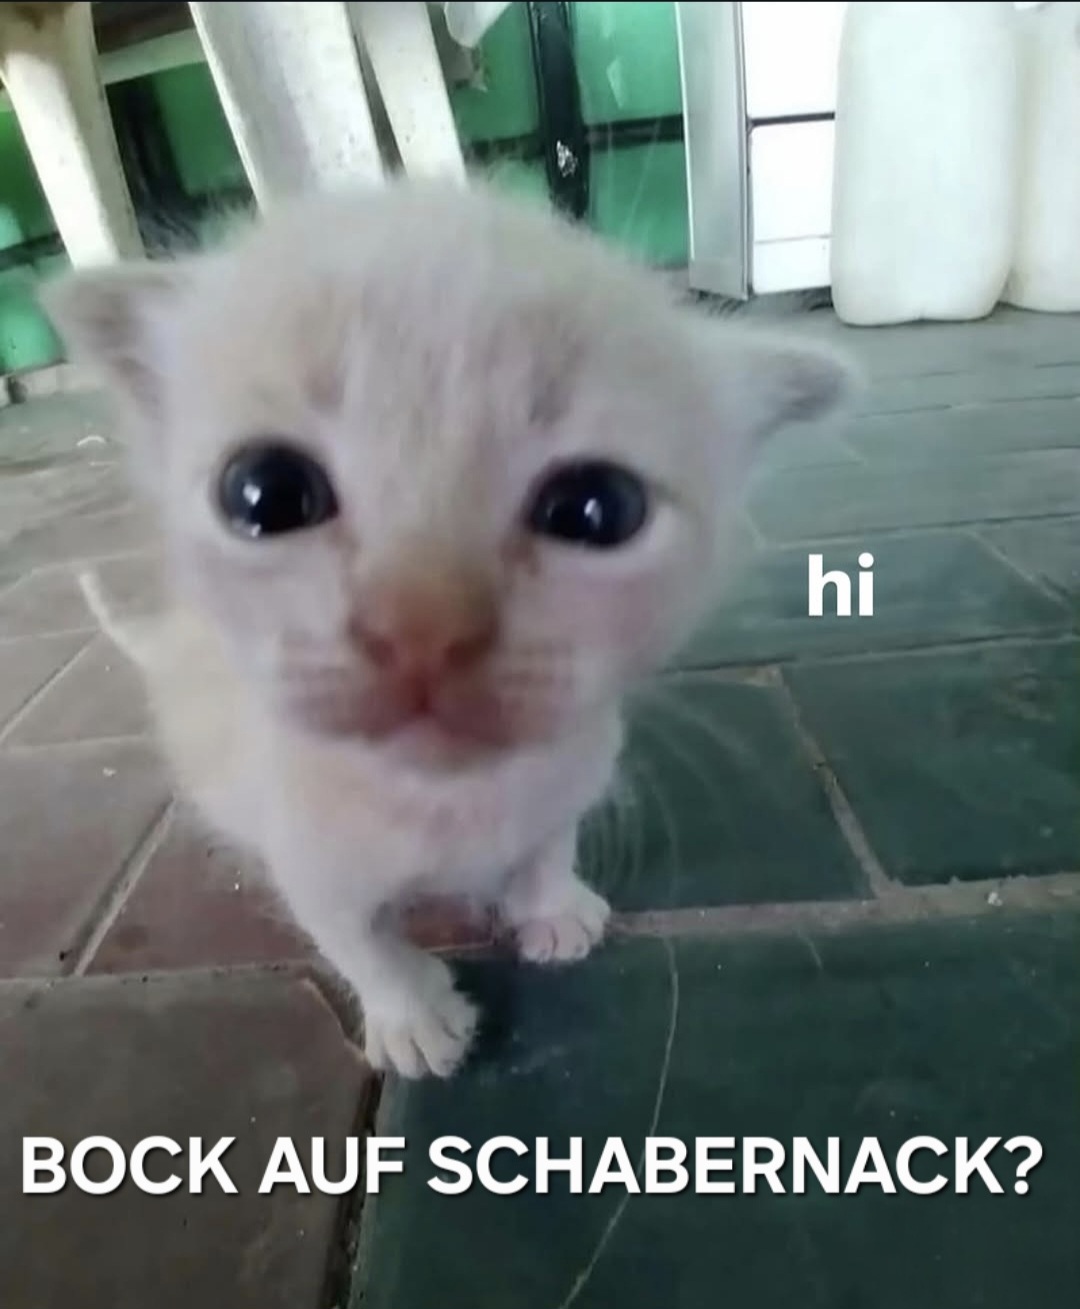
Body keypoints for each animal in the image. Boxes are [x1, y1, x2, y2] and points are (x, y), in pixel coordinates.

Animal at [43, 179, 853, 1079]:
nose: (421, 626)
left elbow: (548, 840)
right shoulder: (310, 863)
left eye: (598, 507)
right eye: (264, 492)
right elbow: (359, 942)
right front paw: (412, 1012)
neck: (447, 807)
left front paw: (551, 906)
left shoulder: (572, 766)